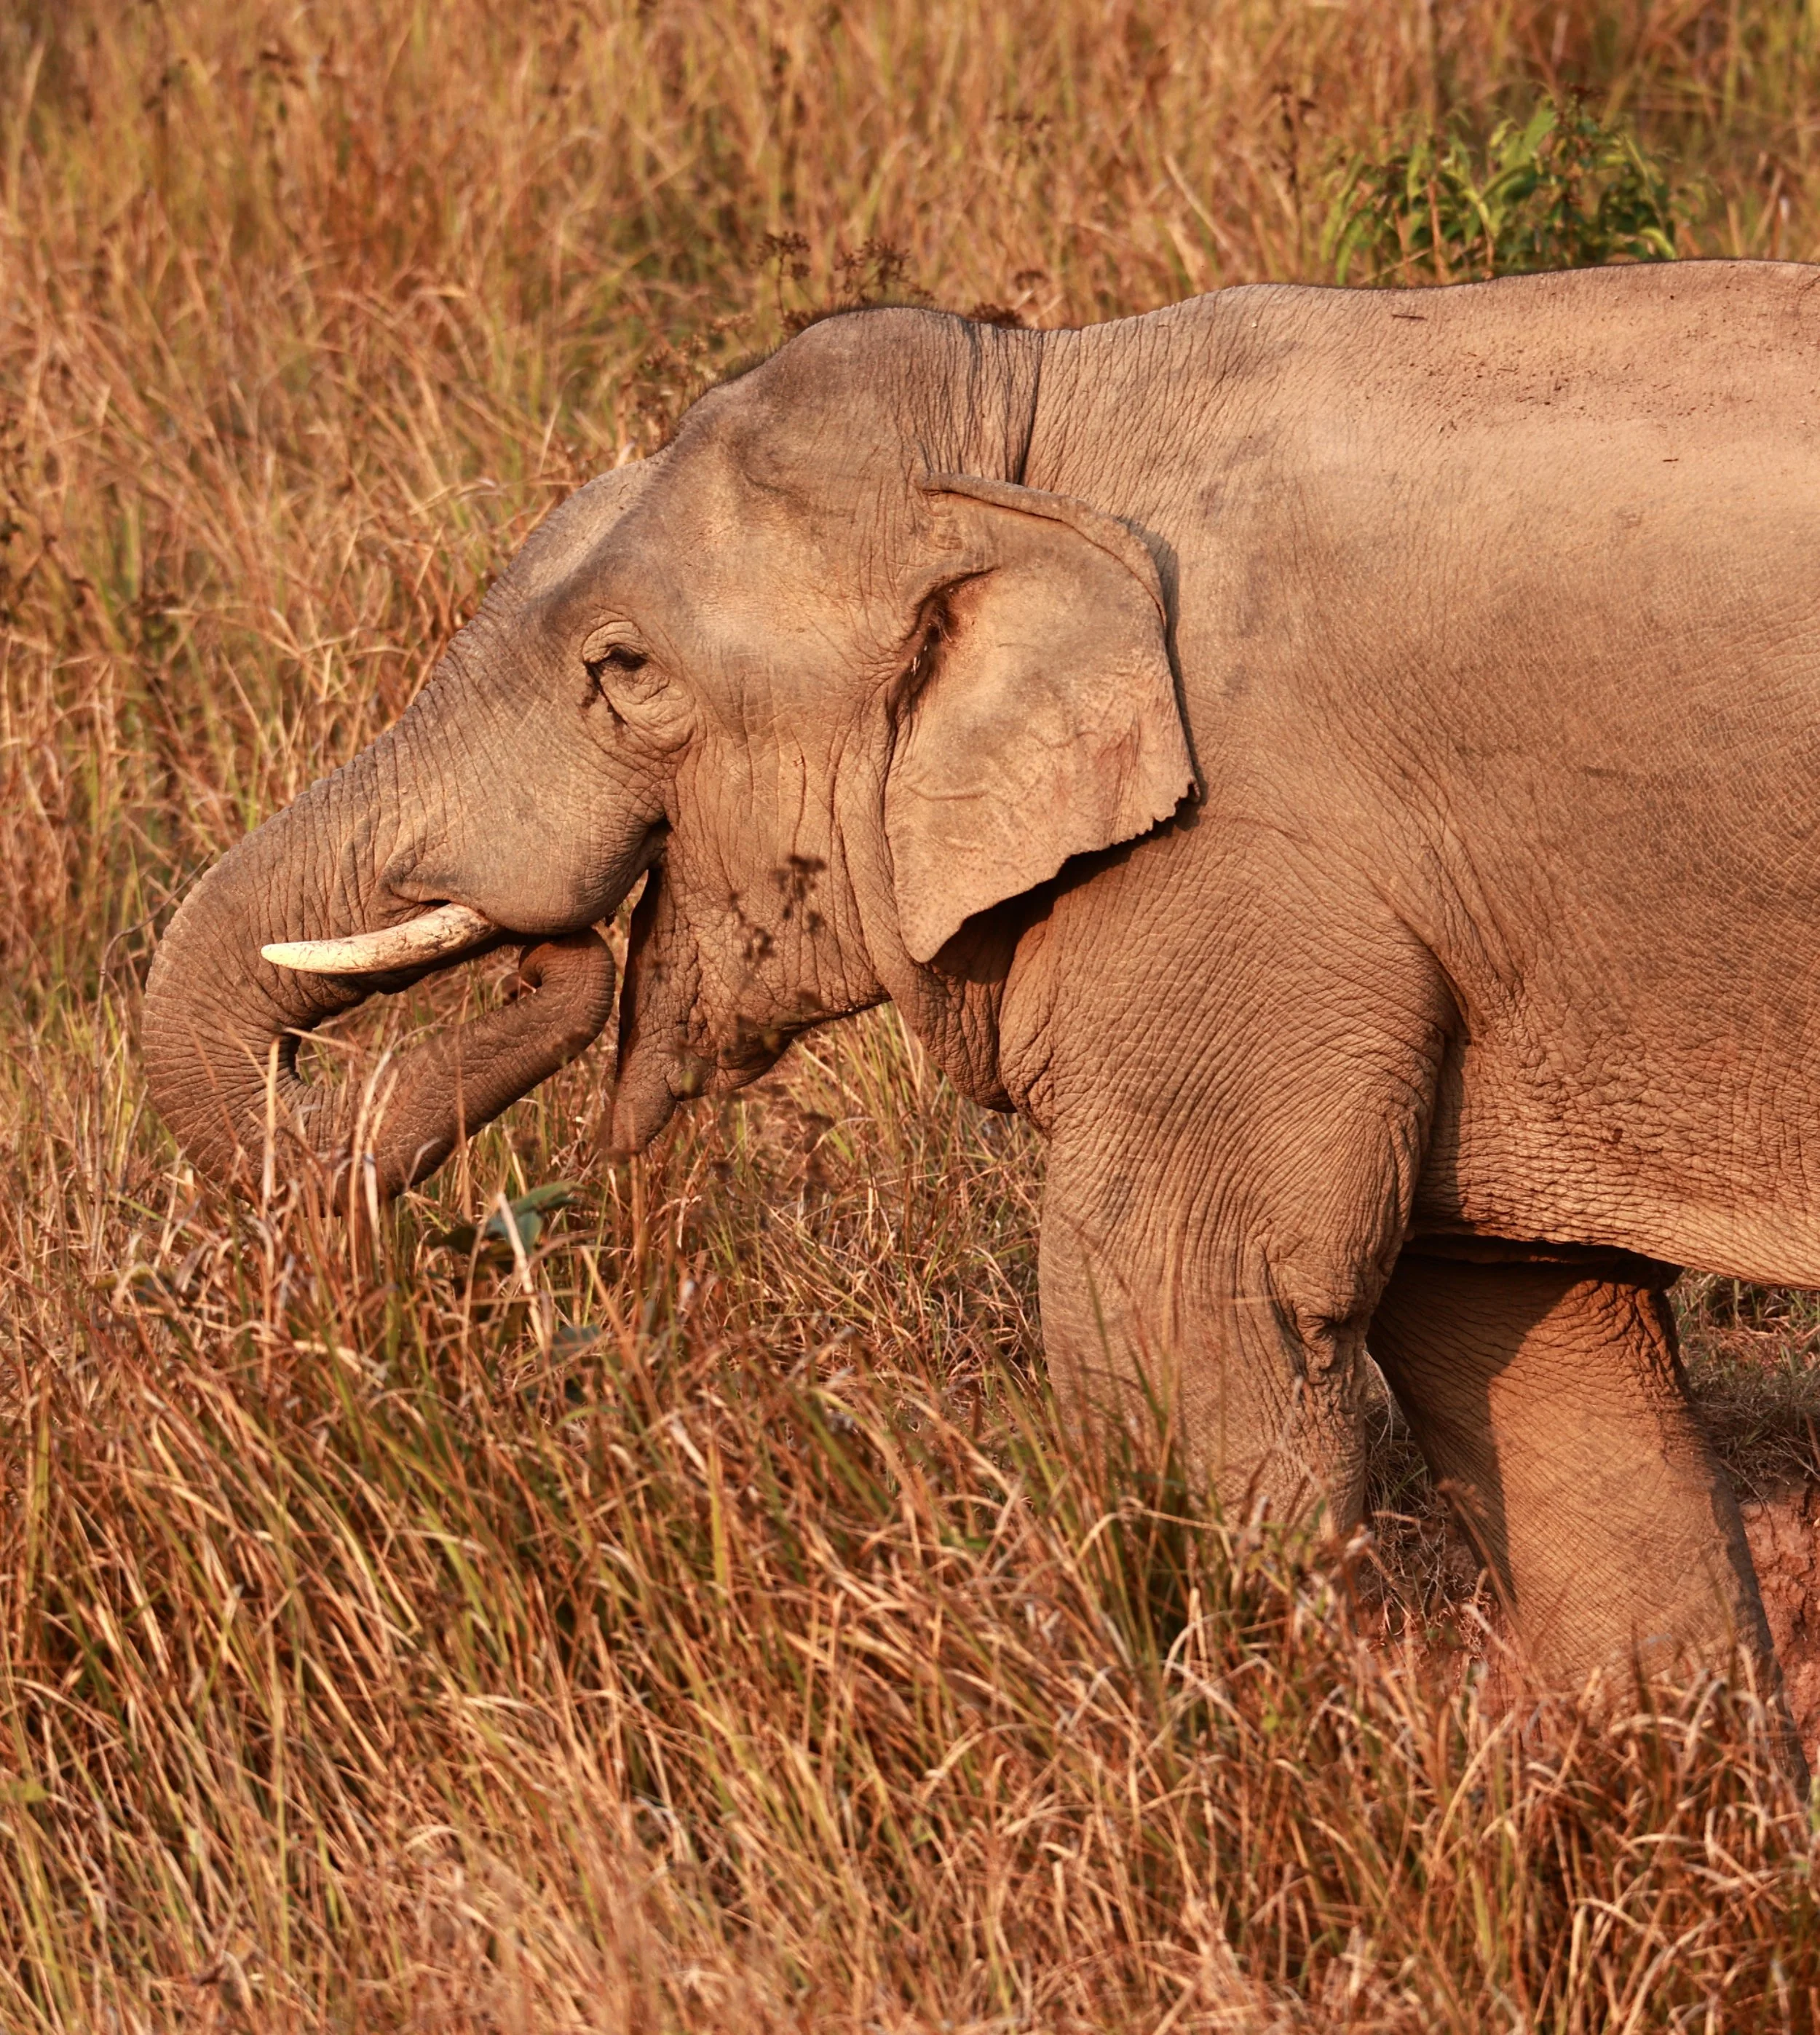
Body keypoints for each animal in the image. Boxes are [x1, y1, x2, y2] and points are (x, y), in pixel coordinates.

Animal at [145, 257, 1820, 1713]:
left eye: (622, 671)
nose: (556, 945)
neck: (1035, 418)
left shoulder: (1238, 865)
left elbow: (1171, 1308)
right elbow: (1526, 1331)